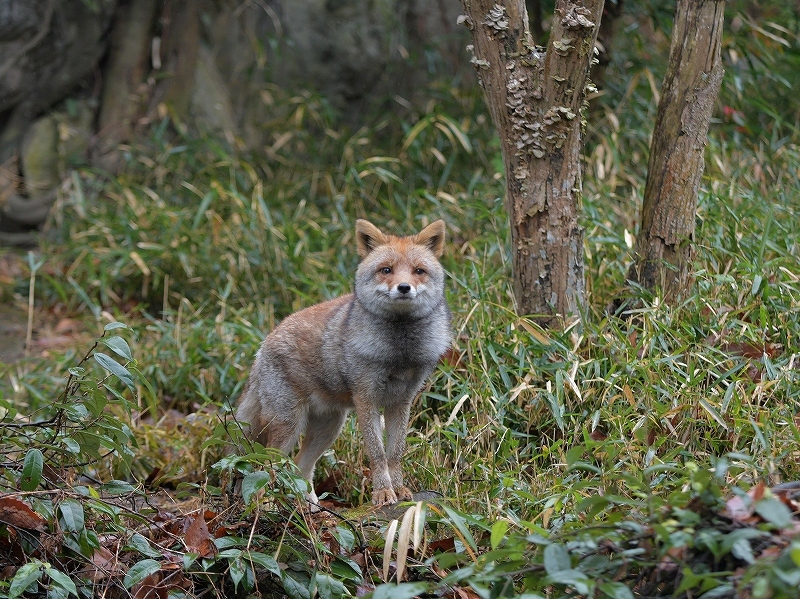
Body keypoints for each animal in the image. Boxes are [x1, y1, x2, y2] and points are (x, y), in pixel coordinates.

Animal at [236, 220, 450, 506]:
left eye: (419, 271)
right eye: (386, 270)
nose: (404, 287)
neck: (399, 354)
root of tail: (263, 343)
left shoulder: (401, 401)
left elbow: (394, 453)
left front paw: (401, 490)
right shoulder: (366, 398)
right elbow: (377, 454)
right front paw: (383, 493)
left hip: (328, 429)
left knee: (301, 468)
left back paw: (312, 510)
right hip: (288, 427)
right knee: (265, 468)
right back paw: (267, 506)